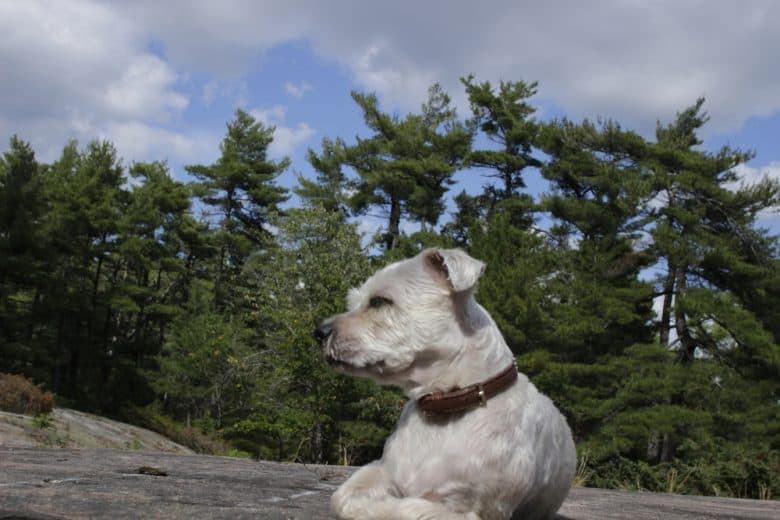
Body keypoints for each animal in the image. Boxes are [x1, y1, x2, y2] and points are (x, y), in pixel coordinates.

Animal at [314, 249, 576, 520]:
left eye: (379, 301)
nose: (319, 332)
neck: (446, 401)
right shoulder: (383, 468)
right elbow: (343, 496)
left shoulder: (482, 507)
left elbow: (413, 508)